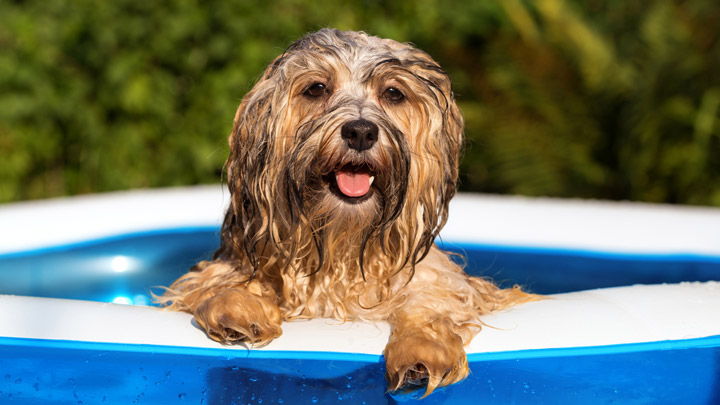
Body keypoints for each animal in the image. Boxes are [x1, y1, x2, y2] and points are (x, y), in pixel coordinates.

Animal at [162, 30, 536, 396]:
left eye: (393, 93)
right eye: (316, 88)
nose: (361, 131)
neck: (340, 241)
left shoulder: (438, 279)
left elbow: (433, 298)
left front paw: (421, 350)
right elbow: (218, 281)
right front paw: (235, 306)